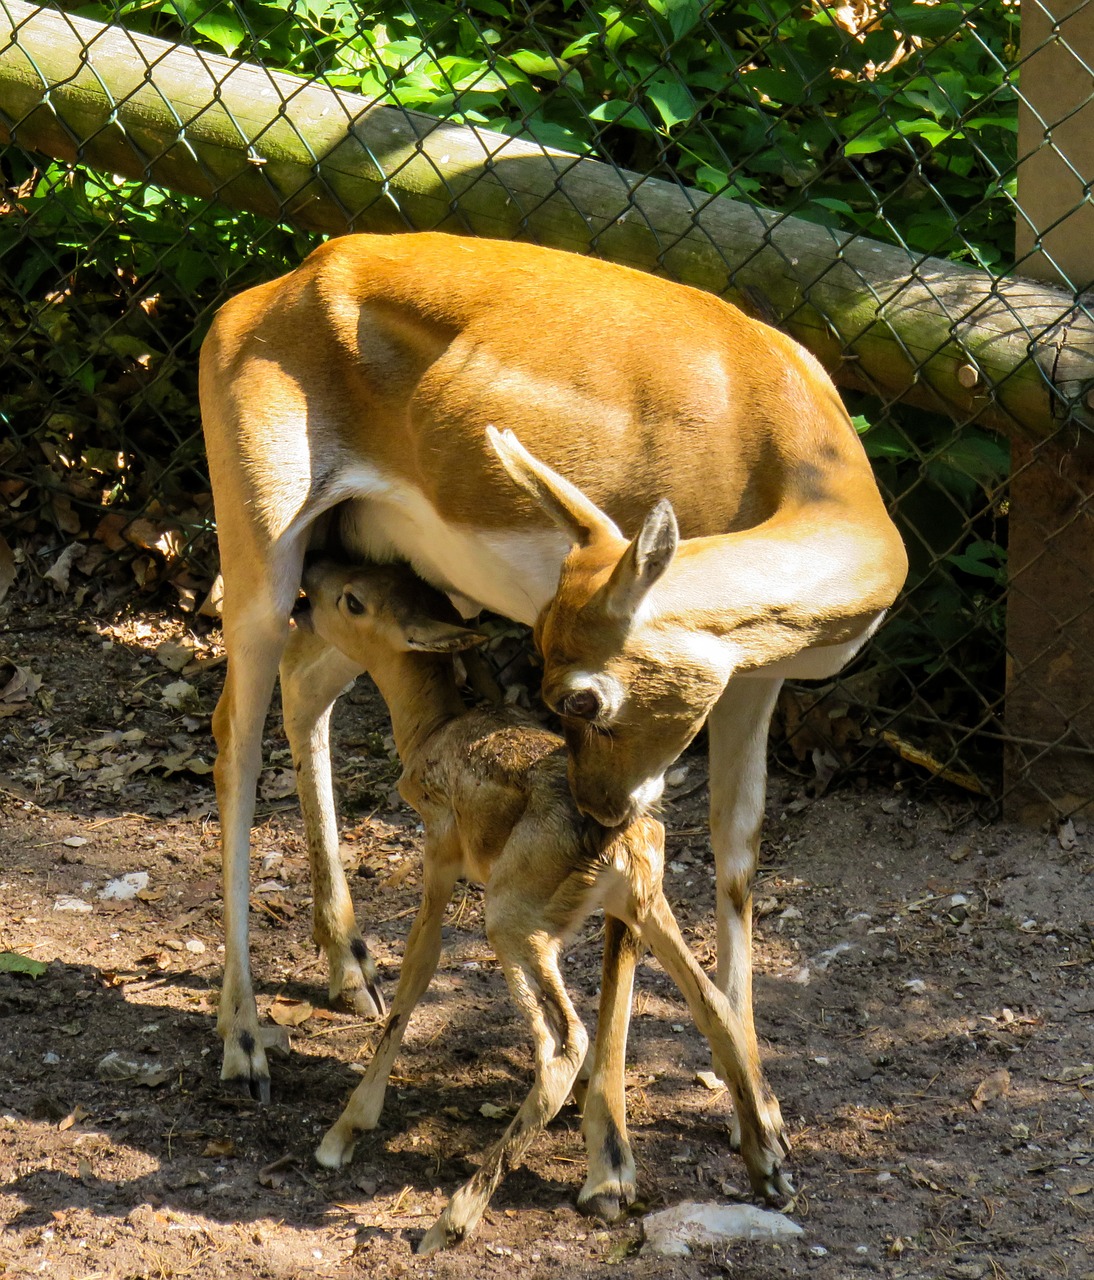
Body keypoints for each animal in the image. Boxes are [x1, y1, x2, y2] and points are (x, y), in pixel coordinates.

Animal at [197, 232, 905, 1162]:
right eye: (558, 690)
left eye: (581, 696)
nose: (595, 807)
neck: (784, 442)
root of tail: (277, 285)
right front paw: (610, 1151)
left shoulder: (754, 679)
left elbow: (737, 859)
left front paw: (761, 1129)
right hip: (263, 558)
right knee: (233, 739)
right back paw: (243, 1043)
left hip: (364, 572)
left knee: (304, 690)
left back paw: (352, 968)